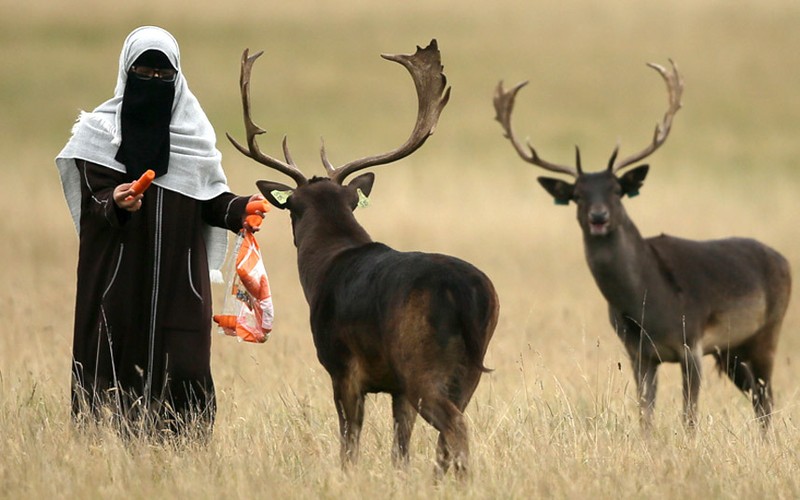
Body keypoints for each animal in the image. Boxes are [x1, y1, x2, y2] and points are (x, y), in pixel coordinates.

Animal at [227, 40, 500, 476]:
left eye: (292, 209)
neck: (325, 266)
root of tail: (468, 294)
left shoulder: (342, 365)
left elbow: (348, 442)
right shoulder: (395, 387)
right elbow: (400, 448)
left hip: (421, 361)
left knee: (455, 427)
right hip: (469, 368)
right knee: (448, 434)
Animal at [490, 60, 792, 428]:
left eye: (617, 190)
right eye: (578, 195)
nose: (599, 216)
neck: (649, 305)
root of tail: (783, 260)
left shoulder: (692, 342)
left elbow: (689, 416)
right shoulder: (639, 354)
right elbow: (645, 414)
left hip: (767, 332)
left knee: (766, 397)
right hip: (732, 350)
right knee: (758, 396)